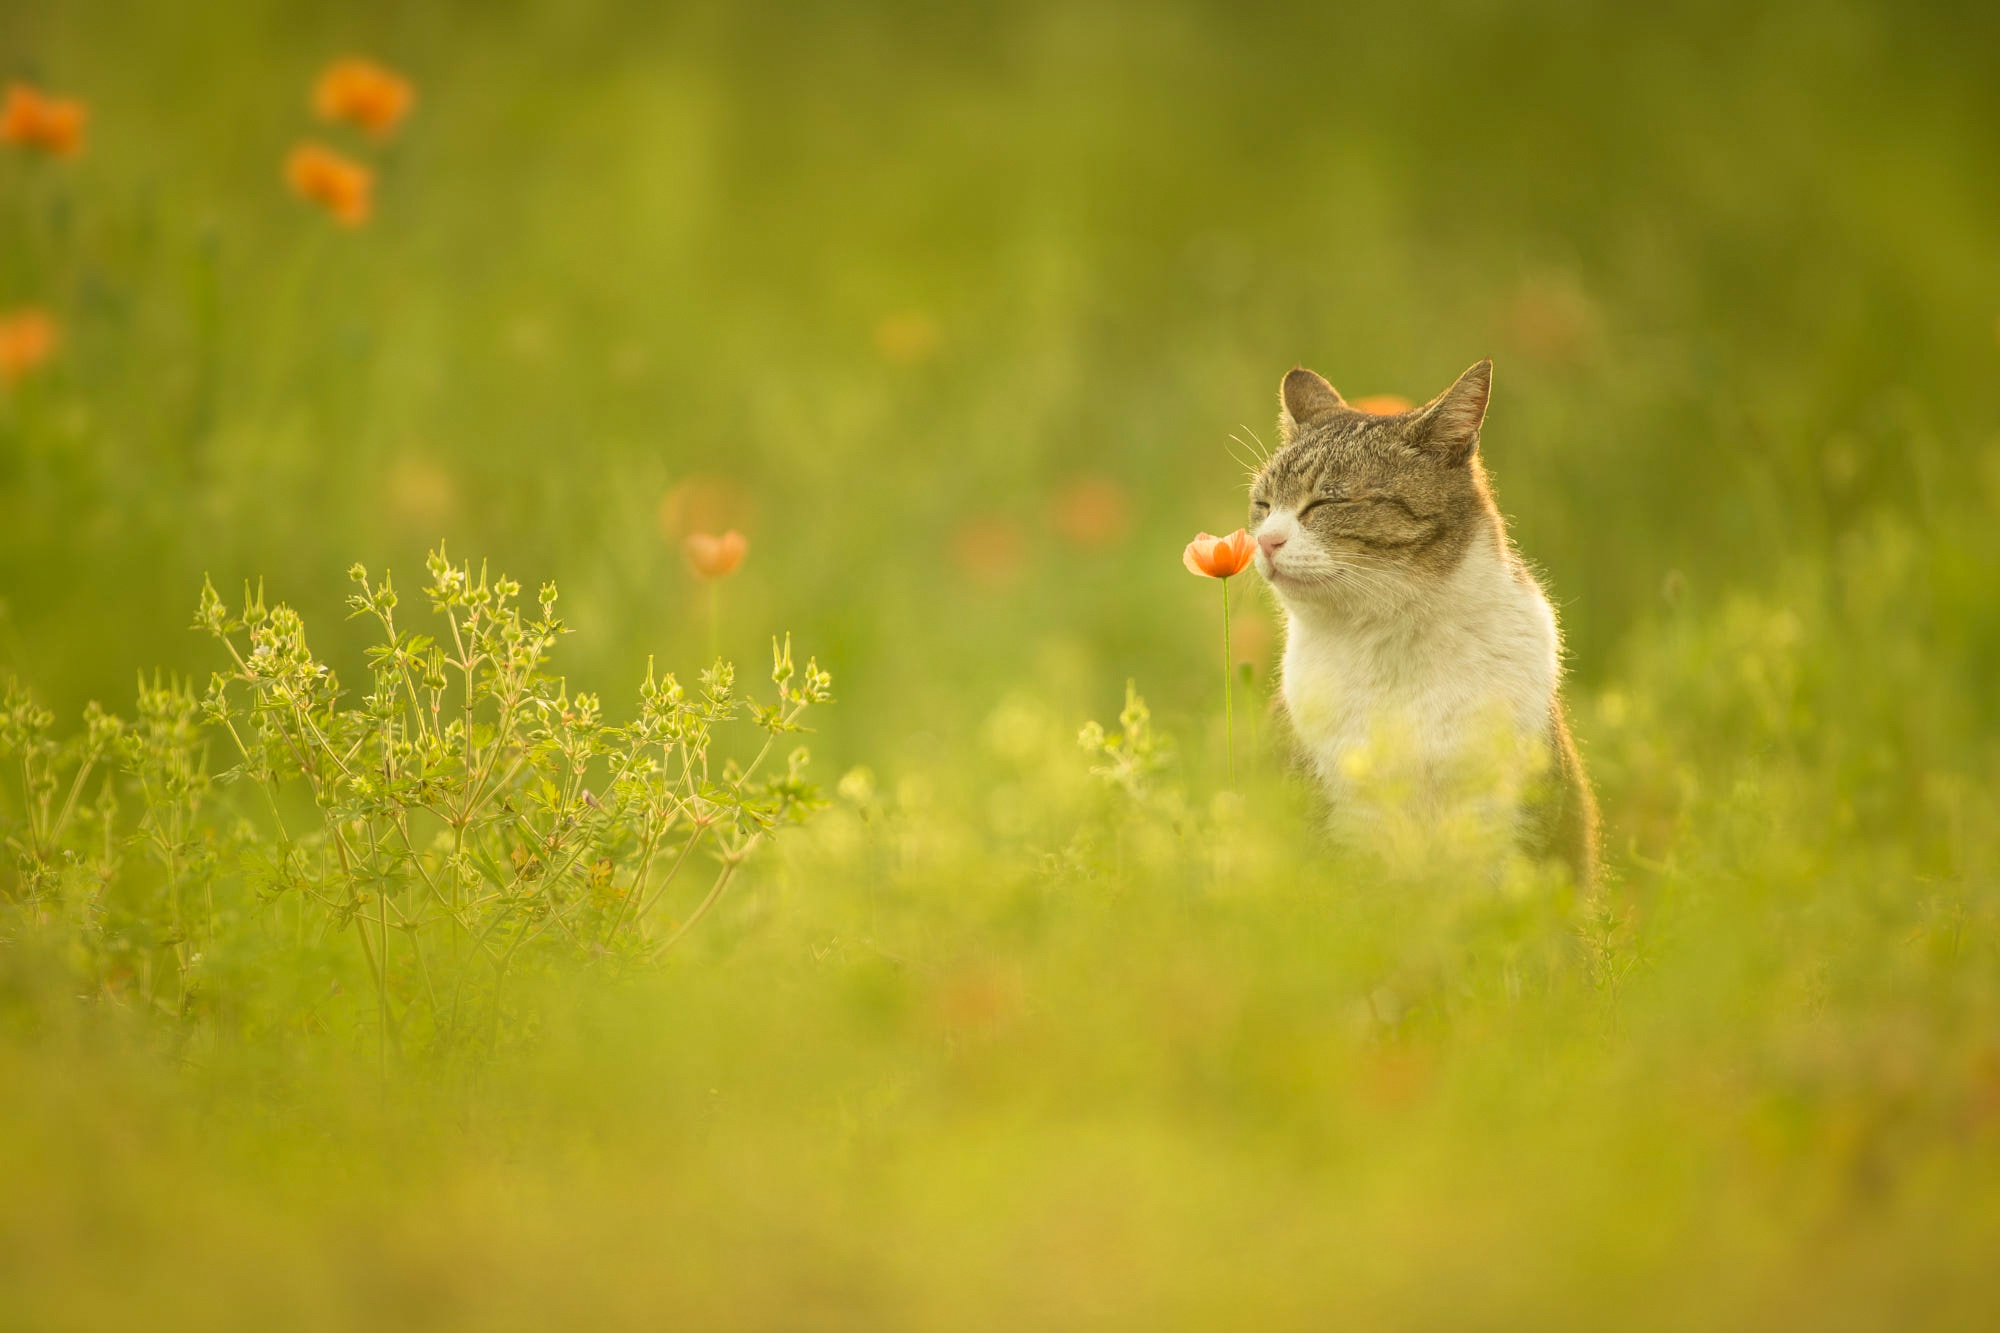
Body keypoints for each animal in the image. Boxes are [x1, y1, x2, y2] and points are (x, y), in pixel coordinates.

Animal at [1248, 360, 1592, 880]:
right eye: (1263, 505)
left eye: (1326, 502)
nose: (1266, 541)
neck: (1391, 641)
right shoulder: (1346, 828)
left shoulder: (1500, 821)